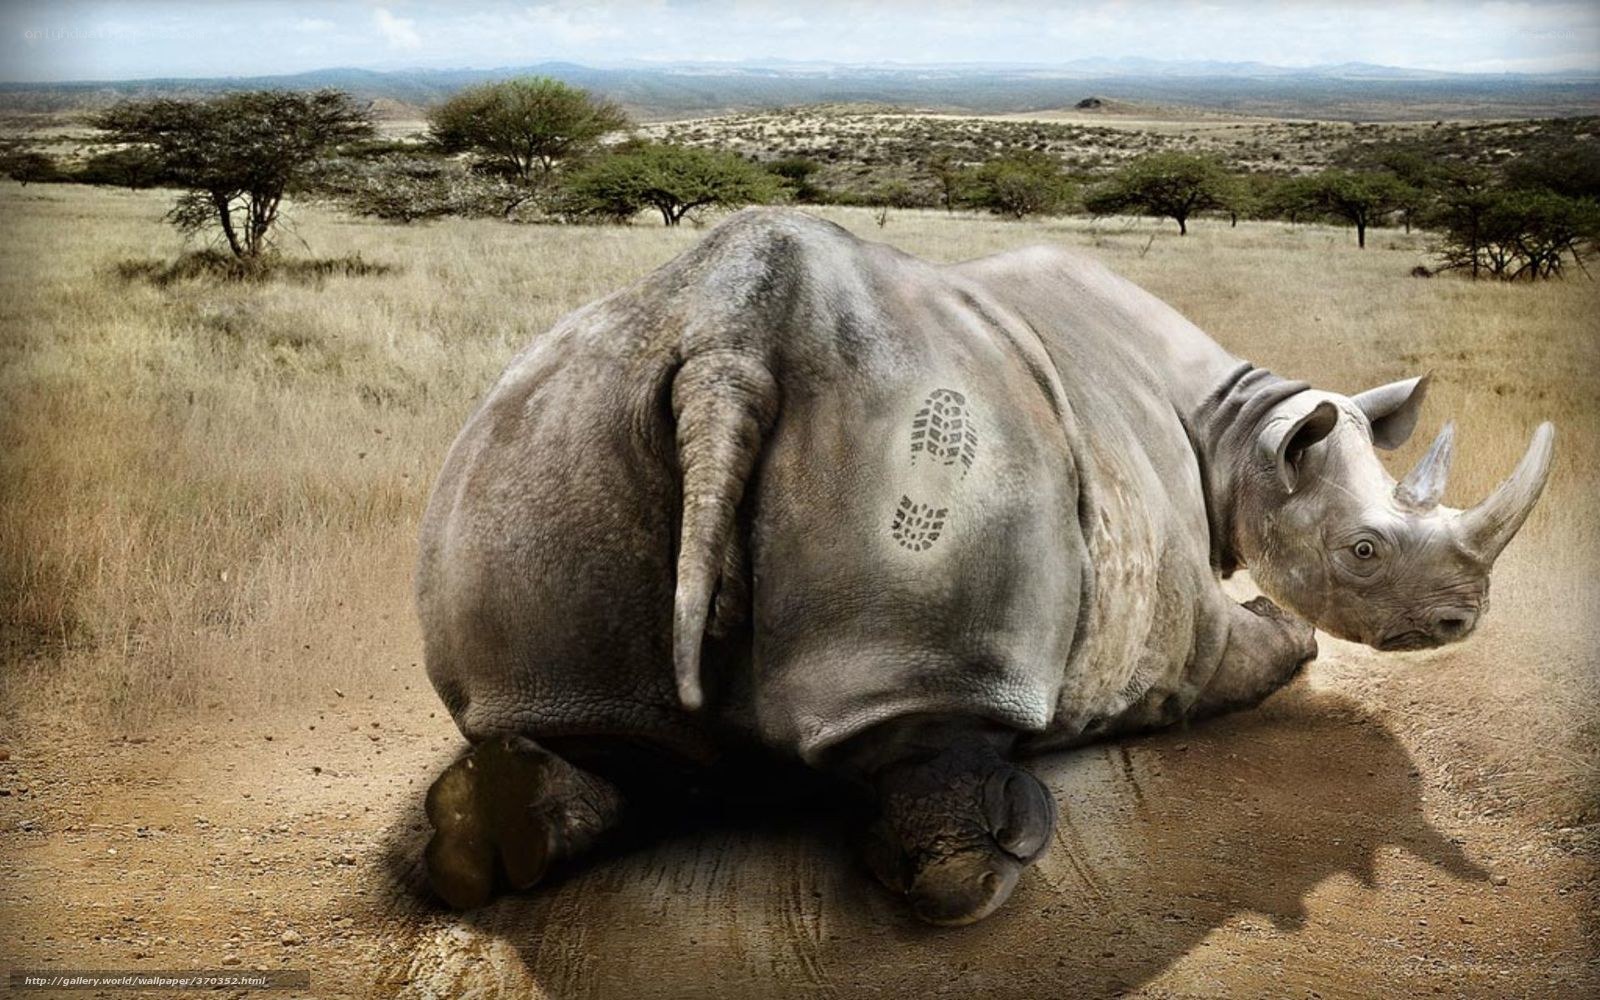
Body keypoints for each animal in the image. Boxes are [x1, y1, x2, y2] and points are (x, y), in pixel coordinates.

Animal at [417, 209, 1553, 925]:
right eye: (1363, 551)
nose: (1460, 619)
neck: (1240, 430)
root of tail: (724, 342)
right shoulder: (1185, 630)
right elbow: (1266, 647)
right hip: (935, 452)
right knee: (930, 709)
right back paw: (1007, 841)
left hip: (545, 438)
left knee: (585, 717)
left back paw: (491, 839)